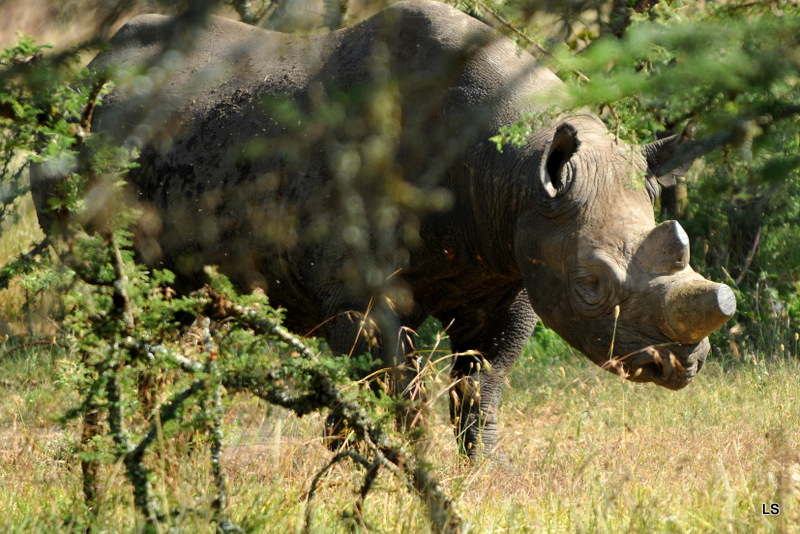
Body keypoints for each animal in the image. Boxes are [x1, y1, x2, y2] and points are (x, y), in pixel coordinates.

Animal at [31, 1, 736, 460]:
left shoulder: (508, 262)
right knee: (120, 302)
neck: (512, 170)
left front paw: (486, 472)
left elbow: (482, 385)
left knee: (176, 308)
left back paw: (168, 449)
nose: (679, 364)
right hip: (77, 142)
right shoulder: (363, 289)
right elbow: (385, 381)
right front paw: (383, 466)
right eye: (591, 283)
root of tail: (97, 64)